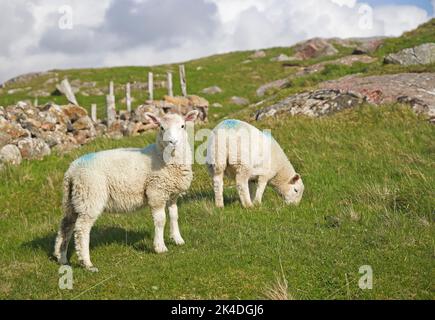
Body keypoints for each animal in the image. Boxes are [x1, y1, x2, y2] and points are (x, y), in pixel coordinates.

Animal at [53, 110, 201, 272]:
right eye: (161, 127)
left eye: (183, 126)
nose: (172, 142)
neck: (163, 157)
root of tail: (72, 170)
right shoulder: (156, 191)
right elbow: (161, 220)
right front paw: (160, 247)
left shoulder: (172, 194)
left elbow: (174, 216)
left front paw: (178, 239)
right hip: (90, 195)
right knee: (81, 229)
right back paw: (87, 263)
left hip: (73, 199)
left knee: (65, 225)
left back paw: (61, 257)